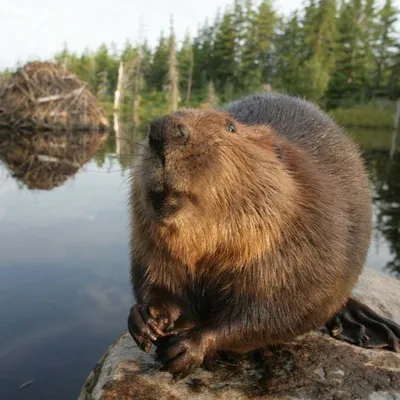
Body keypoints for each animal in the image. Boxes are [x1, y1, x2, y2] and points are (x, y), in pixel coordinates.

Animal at [127, 92, 400, 380]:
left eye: (230, 127)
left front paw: (188, 348)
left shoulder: (307, 238)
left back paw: (370, 327)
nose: (163, 128)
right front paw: (146, 318)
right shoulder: (148, 243)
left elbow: (278, 311)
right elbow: (154, 279)